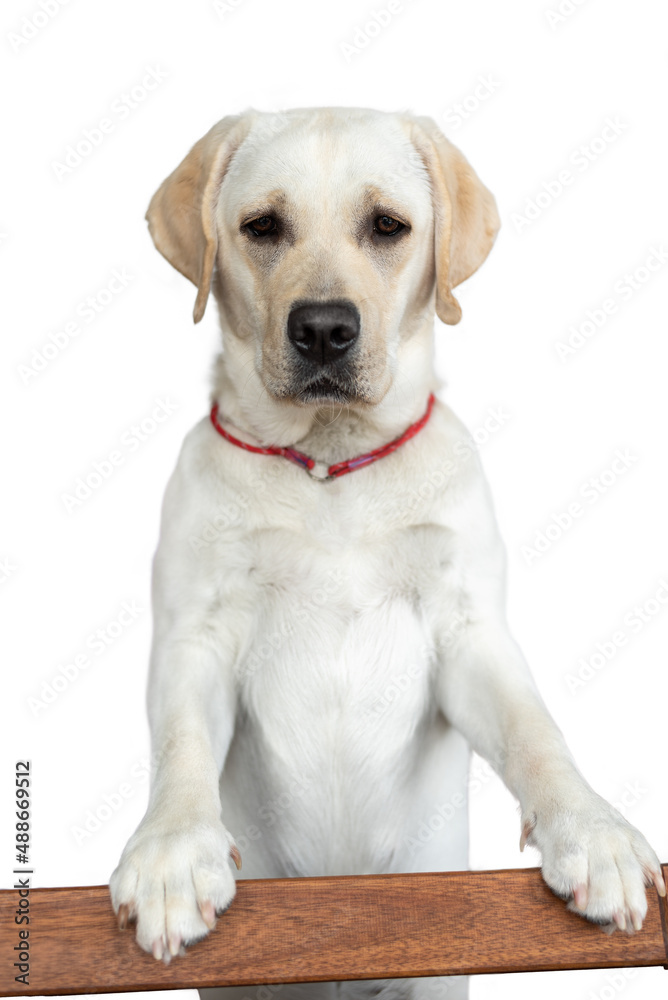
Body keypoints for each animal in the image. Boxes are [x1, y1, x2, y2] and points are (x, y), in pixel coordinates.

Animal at [109, 105, 664, 996]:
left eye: (387, 227)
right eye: (261, 227)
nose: (324, 329)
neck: (330, 464)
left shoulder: (468, 634)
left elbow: (536, 732)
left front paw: (595, 830)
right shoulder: (195, 635)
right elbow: (181, 747)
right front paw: (171, 853)